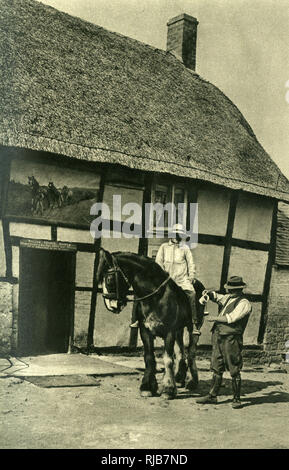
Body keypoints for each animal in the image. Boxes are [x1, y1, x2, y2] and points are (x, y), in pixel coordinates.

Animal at [96, 248, 205, 398]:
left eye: (109, 279)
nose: (111, 306)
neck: (156, 297)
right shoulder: (145, 331)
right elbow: (149, 358)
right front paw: (148, 386)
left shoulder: (169, 332)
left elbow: (167, 359)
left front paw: (168, 388)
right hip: (179, 330)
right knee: (180, 352)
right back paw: (179, 377)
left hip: (192, 328)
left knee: (191, 353)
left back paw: (192, 382)